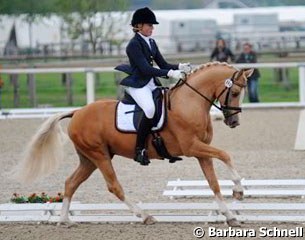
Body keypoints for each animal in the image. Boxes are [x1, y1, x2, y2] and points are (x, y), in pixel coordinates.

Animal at [17, 62, 253, 227]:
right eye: (234, 92)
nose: (234, 122)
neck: (190, 103)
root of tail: (77, 112)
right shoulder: (191, 147)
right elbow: (226, 154)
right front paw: (239, 191)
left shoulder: (201, 152)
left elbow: (214, 184)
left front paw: (230, 216)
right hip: (99, 155)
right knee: (114, 186)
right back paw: (145, 216)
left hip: (89, 159)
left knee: (70, 183)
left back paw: (65, 220)